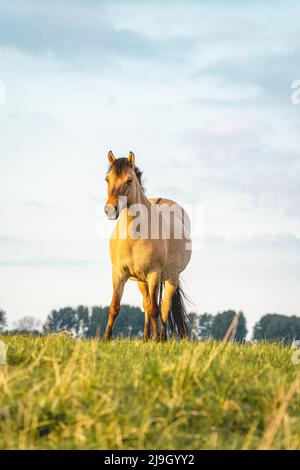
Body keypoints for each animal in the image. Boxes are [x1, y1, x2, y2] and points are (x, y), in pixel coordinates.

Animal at [103, 151, 192, 342]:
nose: (110, 209)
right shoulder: (119, 274)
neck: (133, 236)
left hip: (171, 278)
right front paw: (105, 338)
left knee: (163, 308)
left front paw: (157, 340)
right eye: (107, 179)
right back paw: (146, 337)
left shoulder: (154, 274)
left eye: (129, 180)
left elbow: (155, 310)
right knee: (147, 304)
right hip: (141, 281)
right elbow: (115, 306)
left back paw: (162, 338)